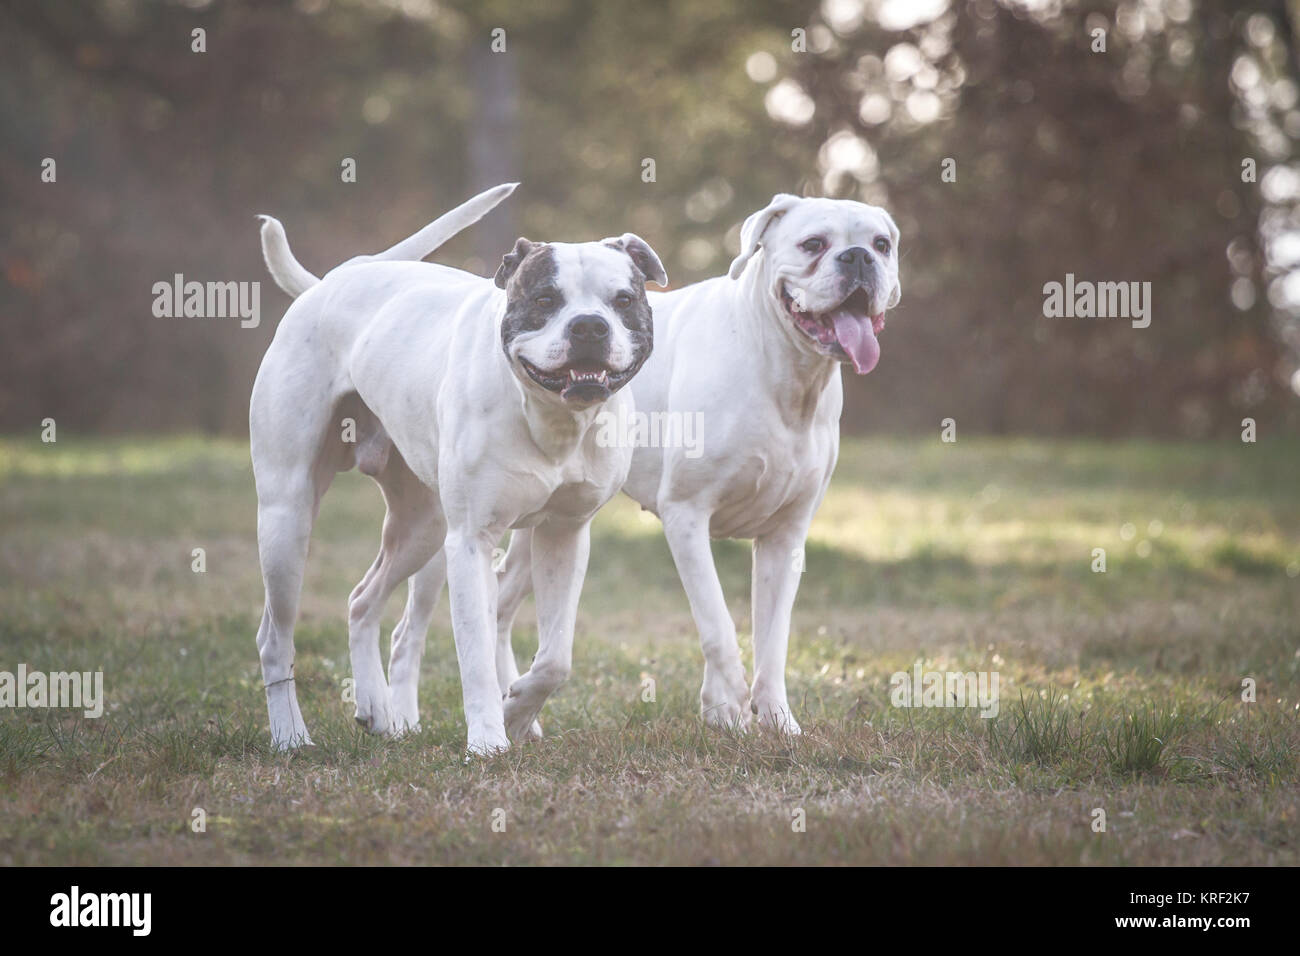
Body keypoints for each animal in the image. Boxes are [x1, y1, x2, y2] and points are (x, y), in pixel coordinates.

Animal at [248, 184, 665, 754]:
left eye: (623, 300)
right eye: (544, 299)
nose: (589, 326)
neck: (551, 418)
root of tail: (330, 282)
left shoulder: (565, 535)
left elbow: (556, 659)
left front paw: (517, 711)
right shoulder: (470, 540)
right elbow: (476, 654)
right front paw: (488, 740)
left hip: (423, 529)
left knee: (362, 601)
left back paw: (376, 709)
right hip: (287, 517)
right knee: (275, 635)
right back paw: (291, 736)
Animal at [491, 192, 899, 733]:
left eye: (882, 244)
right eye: (814, 244)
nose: (858, 258)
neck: (782, 370)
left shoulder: (785, 536)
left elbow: (773, 639)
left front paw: (776, 720)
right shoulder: (686, 517)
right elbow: (718, 625)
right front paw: (728, 708)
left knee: (499, 601)